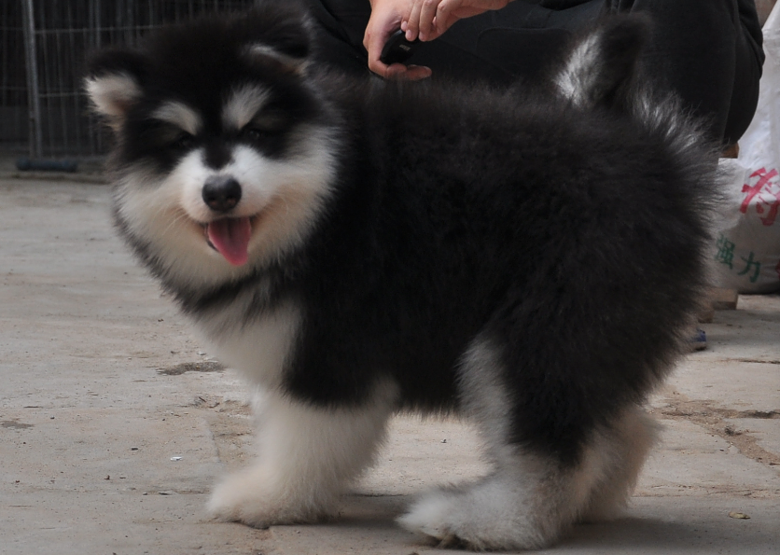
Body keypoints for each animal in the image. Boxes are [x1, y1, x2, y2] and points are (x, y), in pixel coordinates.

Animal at [85, 3, 720, 552]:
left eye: (258, 131)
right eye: (180, 142)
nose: (222, 192)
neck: (325, 201)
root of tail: (651, 153)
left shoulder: (331, 348)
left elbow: (305, 438)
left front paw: (275, 498)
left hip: (535, 331)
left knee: (552, 448)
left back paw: (485, 522)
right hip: (589, 334)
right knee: (618, 427)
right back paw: (590, 502)